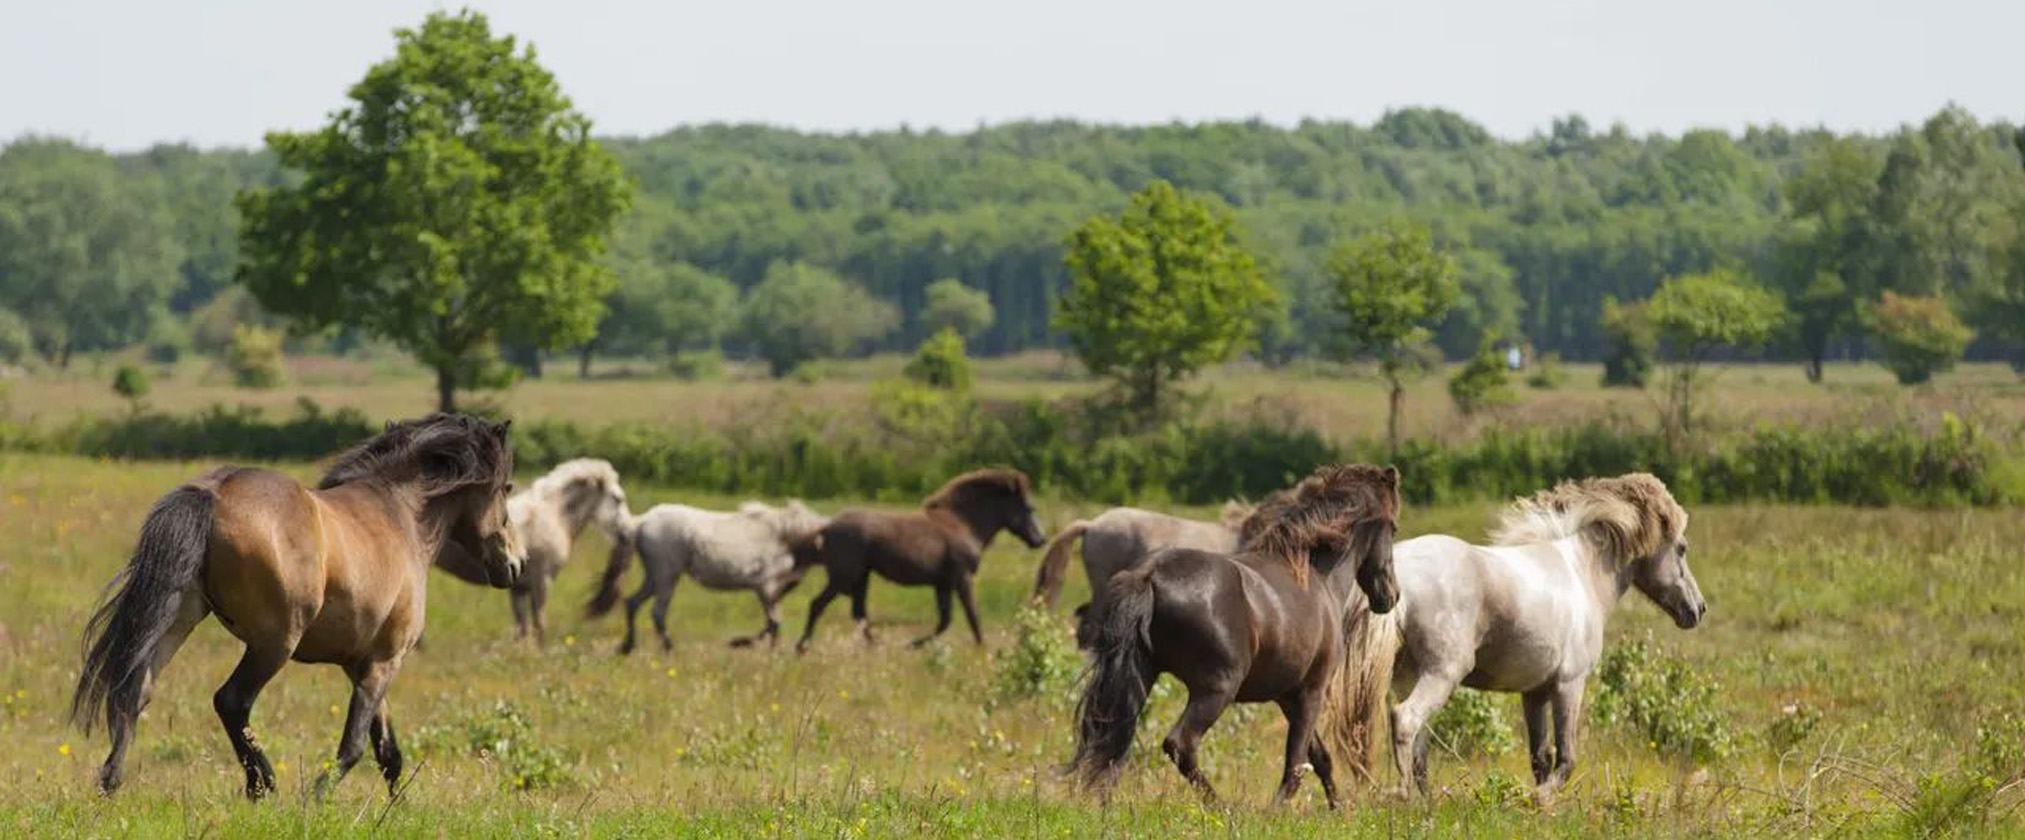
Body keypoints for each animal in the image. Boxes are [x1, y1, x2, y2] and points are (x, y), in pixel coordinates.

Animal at [73, 414, 522, 801]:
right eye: (507, 488)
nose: (515, 564)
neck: (402, 517)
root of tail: (214, 493)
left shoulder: (361, 664)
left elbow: (388, 752)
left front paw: (398, 810)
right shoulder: (384, 661)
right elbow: (355, 746)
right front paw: (314, 799)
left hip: (179, 617)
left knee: (135, 690)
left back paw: (110, 783)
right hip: (274, 643)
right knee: (230, 701)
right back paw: (263, 786)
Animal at [439, 461, 627, 643]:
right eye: (618, 499)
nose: (627, 533)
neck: (554, 515)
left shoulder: (519, 588)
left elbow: (523, 628)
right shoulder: (541, 582)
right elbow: (539, 624)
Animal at [583, 499, 826, 651]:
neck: (786, 536)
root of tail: (640, 523)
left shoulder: (769, 590)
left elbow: (771, 622)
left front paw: (746, 644)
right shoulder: (766, 587)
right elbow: (774, 622)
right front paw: (767, 651)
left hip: (654, 578)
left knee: (632, 603)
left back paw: (628, 647)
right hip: (667, 577)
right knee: (657, 612)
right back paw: (669, 649)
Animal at [789, 469, 1044, 655]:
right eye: (1029, 508)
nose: (1040, 540)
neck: (962, 524)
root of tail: (827, 527)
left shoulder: (943, 584)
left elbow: (945, 621)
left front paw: (912, 645)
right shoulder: (962, 578)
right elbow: (972, 616)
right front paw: (982, 650)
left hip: (861, 577)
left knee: (859, 615)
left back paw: (877, 648)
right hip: (845, 577)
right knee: (818, 605)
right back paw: (802, 647)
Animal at [1069, 463, 1401, 813]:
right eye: (1393, 528)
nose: (1390, 596)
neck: (1316, 578)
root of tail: (1149, 576)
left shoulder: (1289, 696)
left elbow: (1320, 759)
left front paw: (1338, 809)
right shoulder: (1312, 691)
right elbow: (1296, 765)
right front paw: (1275, 812)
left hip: (1142, 676)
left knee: (1113, 741)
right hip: (1217, 689)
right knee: (1180, 744)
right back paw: (1221, 808)